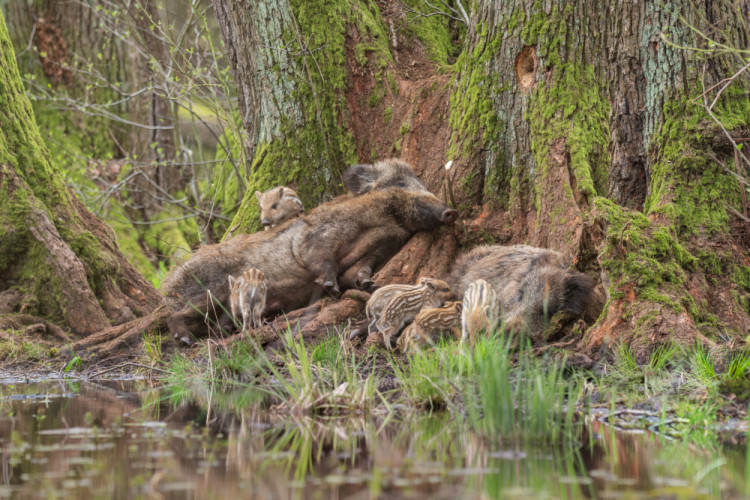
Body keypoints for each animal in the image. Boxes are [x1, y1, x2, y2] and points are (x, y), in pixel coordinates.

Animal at [161, 176, 458, 341]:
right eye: (421, 198)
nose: (450, 211)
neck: (376, 224)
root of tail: (170, 282)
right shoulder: (318, 238)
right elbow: (319, 259)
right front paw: (331, 288)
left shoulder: (371, 251)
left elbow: (357, 271)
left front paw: (368, 285)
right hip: (209, 290)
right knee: (176, 314)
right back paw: (183, 339)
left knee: (211, 324)